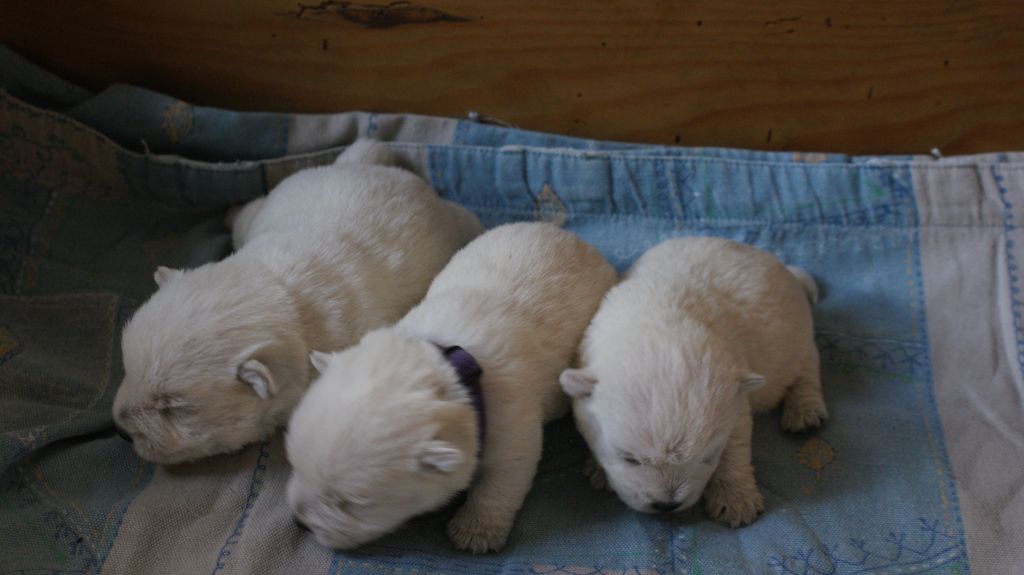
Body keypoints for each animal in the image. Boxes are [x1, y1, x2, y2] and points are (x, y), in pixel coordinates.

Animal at [112, 141, 483, 462]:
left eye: (172, 408)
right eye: (127, 367)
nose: (120, 431)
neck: (280, 293)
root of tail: (361, 164)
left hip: (451, 221)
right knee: (247, 210)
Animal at [284, 223, 610, 552]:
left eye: (353, 503)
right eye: (294, 463)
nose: (300, 523)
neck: (453, 367)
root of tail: (563, 232)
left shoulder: (511, 417)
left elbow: (506, 474)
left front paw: (475, 531)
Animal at [557, 235, 827, 527]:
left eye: (707, 455)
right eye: (630, 459)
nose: (666, 504)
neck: (663, 323)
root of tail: (779, 265)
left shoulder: (735, 395)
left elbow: (736, 444)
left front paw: (736, 501)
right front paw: (598, 469)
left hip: (797, 333)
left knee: (807, 367)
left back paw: (804, 412)